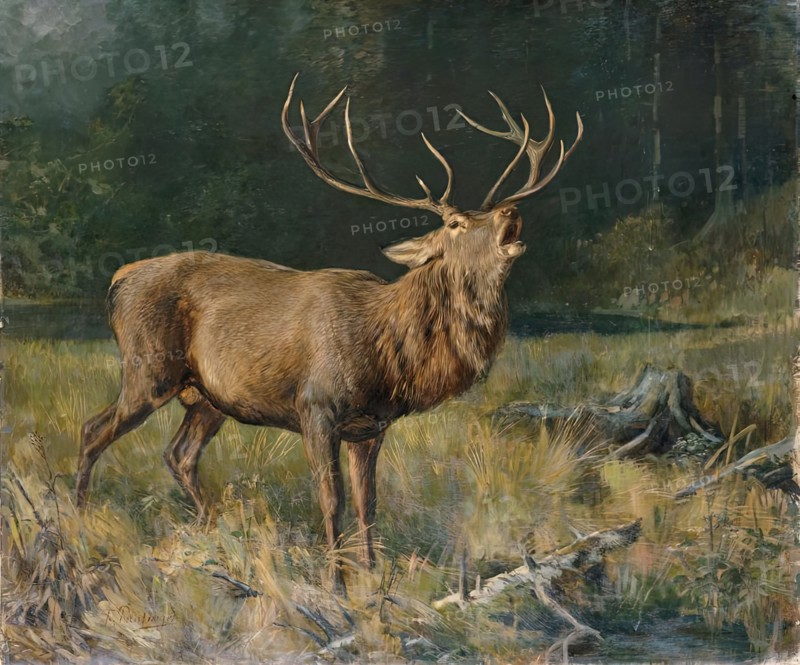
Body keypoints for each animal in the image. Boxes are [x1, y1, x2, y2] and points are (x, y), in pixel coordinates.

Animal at [76, 74, 582, 589]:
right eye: (458, 223)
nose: (511, 212)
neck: (390, 355)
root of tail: (117, 280)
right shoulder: (315, 408)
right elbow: (332, 498)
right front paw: (335, 583)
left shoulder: (370, 426)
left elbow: (367, 503)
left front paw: (373, 577)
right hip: (148, 369)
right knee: (93, 429)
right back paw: (78, 520)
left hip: (207, 398)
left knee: (178, 455)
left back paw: (208, 530)